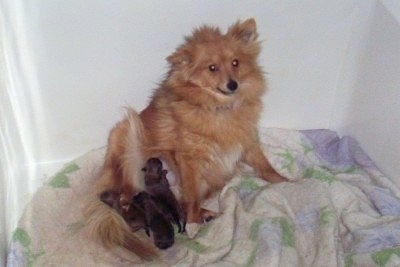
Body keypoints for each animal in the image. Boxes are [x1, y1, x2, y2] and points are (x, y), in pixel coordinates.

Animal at [84, 18, 286, 260]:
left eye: (235, 63)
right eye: (212, 68)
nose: (233, 84)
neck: (219, 109)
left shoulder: (246, 142)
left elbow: (265, 166)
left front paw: (287, 182)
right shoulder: (189, 159)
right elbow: (191, 195)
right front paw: (192, 222)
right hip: (127, 136)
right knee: (127, 196)